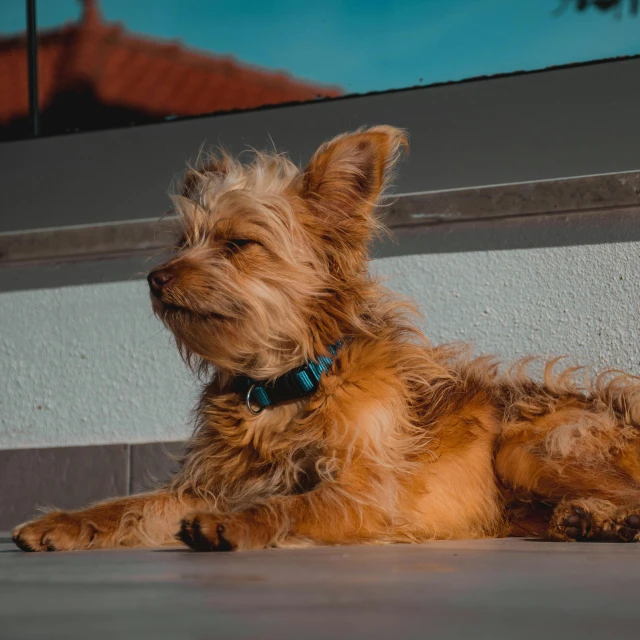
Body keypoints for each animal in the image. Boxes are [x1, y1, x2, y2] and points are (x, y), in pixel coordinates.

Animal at [12, 125, 640, 552]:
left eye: (238, 244)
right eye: (183, 241)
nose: (155, 277)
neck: (281, 384)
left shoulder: (361, 492)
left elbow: (289, 504)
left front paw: (236, 524)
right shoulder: (209, 483)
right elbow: (131, 505)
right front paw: (62, 522)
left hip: (526, 446)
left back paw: (605, 518)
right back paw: (584, 519)